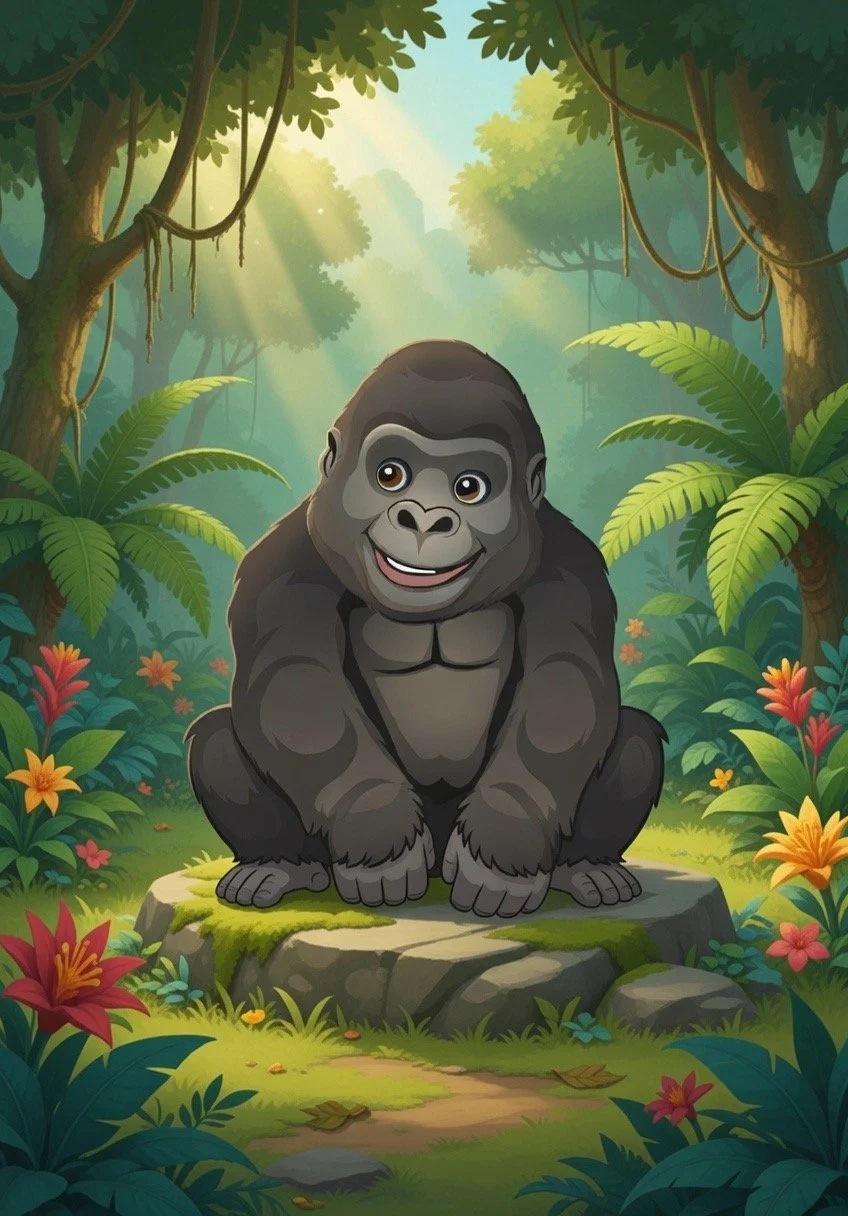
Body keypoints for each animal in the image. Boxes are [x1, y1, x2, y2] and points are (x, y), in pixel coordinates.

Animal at [186, 339, 666, 918]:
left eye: (469, 488)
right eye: (391, 475)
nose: (423, 518)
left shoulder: (571, 564)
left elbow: (566, 685)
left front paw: (506, 835)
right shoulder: (280, 562)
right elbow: (293, 683)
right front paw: (373, 820)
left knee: (636, 734)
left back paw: (587, 868)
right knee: (214, 736)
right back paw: (278, 864)